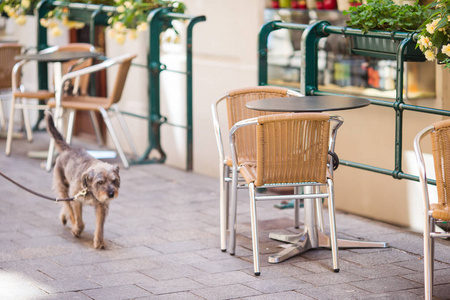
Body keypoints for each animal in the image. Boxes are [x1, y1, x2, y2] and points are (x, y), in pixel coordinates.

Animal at [45, 111, 120, 250]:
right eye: (100, 182)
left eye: (113, 181)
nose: (111, 194)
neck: (89, 190)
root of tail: (69, 148)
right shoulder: (76, 200)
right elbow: (77, 218)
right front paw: (77, 229)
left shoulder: (101, 207)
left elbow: (99, 226)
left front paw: (99, 241)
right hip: (63, 188)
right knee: (67, 205)